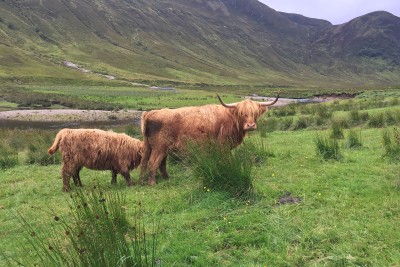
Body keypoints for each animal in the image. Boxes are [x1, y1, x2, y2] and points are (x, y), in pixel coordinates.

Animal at [140, 94, 278, 186]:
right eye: (241, 113)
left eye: (255, 113)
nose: (250, 125)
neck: (231, 119)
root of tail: (150, 113)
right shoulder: (223, 145)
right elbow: (227, 160)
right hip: (159, 147)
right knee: (152, 163)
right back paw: (152, 182)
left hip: (160, 148)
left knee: (159, 164)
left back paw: (166, 178)